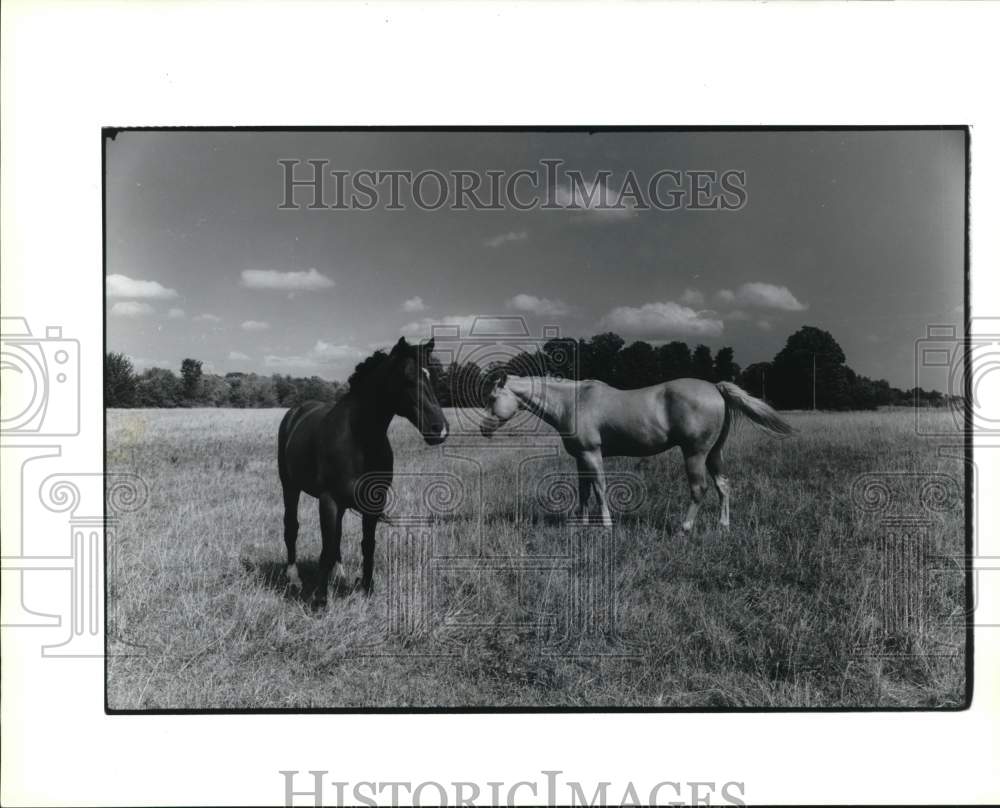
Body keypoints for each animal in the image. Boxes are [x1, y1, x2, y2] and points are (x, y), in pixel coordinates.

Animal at [274, 336, 446, 608]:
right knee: (292, 527)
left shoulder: (373, 502)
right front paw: (320, 601)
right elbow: (326, 549)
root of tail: (295, 412)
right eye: (407, 377)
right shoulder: (329, 500)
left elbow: (367, 545)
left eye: (434, 377)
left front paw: (366, 588)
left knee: (337, 537)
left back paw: (339, 574)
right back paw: (294, 578)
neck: (359, 438)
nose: (439, 429)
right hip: (290, 487)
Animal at [480, 376, 792, 532]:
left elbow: (600, 488)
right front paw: (580, 523)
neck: (573, 401)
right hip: (714, 453)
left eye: (492, 397)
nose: (483, 428)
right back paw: (723, 525)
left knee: (699, 489)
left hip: (695, 454)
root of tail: (715, 388)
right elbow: (583, 490)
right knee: (723, 486)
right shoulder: (581, 457)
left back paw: (685, 527)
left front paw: (606, 525)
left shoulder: (592, 454)